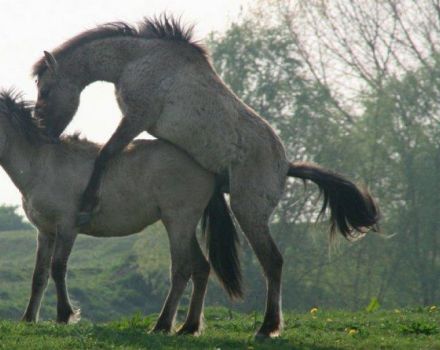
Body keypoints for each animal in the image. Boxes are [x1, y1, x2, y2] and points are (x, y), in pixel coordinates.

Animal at [31, 15, 378, 338]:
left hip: (248, 212)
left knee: (273, 262)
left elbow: (106, 154)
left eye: (45, 90)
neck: (136, 58)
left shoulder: (136, 118)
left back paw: (267, 327)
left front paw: (88, 203)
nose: (43, 131)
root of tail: (285, 165)